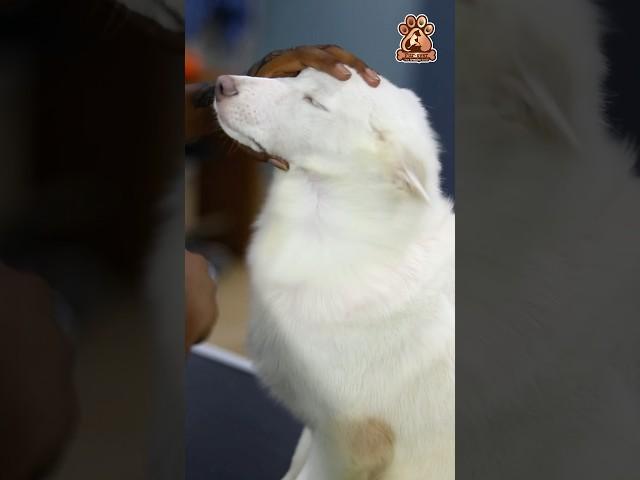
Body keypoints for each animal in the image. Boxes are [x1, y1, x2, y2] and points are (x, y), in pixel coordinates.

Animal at [215, 65, 456, 478]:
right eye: (296, 75)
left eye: (314, 102)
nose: (221, 85)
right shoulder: (317, 425)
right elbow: (294, 464)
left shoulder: (348, 439)